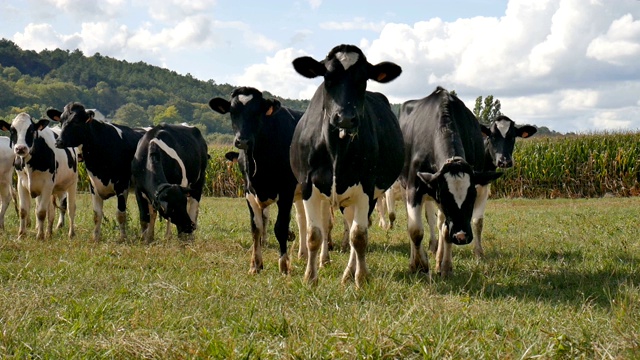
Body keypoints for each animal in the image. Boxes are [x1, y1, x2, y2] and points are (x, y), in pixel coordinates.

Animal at [48, 102, 147, 242]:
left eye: (76, 121)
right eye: (61, 121)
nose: (58, 142)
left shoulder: (122, 185)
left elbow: (121, 214)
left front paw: (122, 237)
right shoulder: (93, 185)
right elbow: (97, 214)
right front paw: (95, 237)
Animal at [208, 88, 302, 274]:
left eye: (257, 112)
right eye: (232, 112)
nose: (242, 140)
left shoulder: (286, 191)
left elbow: (280, 227)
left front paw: (284, 265)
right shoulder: (249, 192)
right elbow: (255, 227)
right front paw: (255, 265)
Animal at [292, 44, 404, 286]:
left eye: (363, 78)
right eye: (328, 77)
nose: (344, 118)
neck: (336, 149)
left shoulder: (366, 189)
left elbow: (359, 236)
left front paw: (360, 279)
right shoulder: (308, 187)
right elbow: (314, 234)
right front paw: (310, 277)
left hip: (366, 196)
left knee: (356, 228)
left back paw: (349, 273)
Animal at [398, 86, 502, 278]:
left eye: (472, 197)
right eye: (445, 197)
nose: (461, 236)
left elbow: (446, 230)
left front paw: (445, 266)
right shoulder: (414, 187)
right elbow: (415, 230)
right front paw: (419, 265)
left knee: (442, 225)